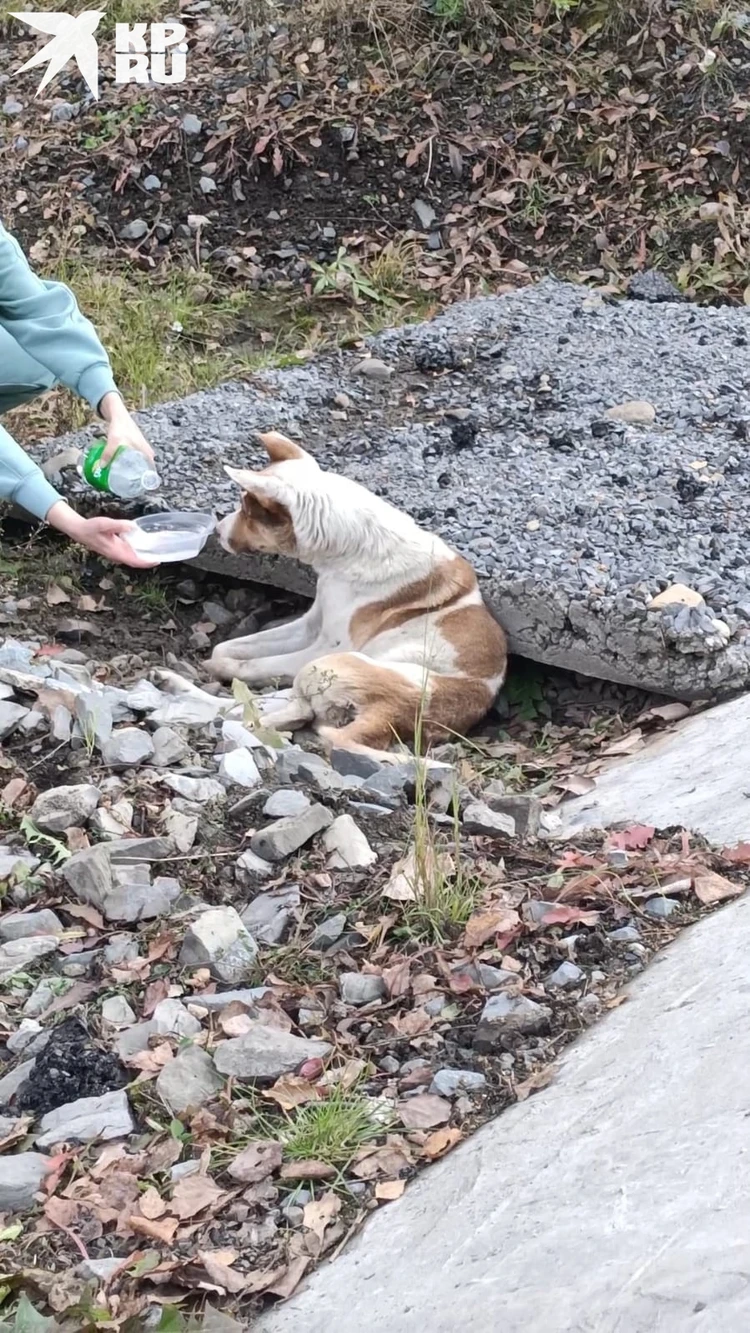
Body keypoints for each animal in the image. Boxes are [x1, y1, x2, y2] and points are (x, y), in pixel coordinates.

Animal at [202, 431, 508, 757]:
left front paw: (226, 670)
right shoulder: (311, 625)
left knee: (280, 708)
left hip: (331, 664)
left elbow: (253, 664)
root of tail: (390, 716)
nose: (217, 531)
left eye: (246, 510)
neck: (354, 544)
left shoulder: (324, 646)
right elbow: (228, 647)